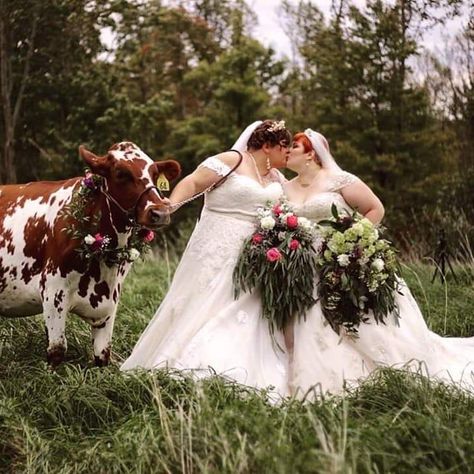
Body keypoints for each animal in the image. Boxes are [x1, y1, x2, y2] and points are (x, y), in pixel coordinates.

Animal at [0, 141, 181, 366]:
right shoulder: (52, 292)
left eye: (155, 174)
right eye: (121, 173)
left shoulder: (110, 303)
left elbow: (103, 355)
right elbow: (57, 350)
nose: (160, 212)